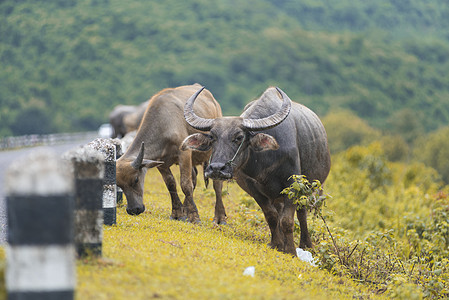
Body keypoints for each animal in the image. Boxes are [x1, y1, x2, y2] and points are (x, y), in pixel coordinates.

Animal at [116, 83, 226, 224]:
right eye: (119, 184)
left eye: (135, 179)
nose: (133, 210)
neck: (164, 124)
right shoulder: (161, 162)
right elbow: (171, 184)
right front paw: (178, 214)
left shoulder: (184, 153)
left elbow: (185, 184)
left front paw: (194, 217)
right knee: (194, 177)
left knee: (216, 183)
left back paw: (219, 218)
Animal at [180, 86, 330, 255]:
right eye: (212, 137)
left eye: (239, 137)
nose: (217, 168)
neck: (266, 161)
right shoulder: (253, 188)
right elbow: (271, 216)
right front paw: (277, 245)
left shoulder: (293, 185)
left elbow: (287, 220)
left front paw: (291, 251)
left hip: (307, 188)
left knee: (301, 212)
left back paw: (306, 245)